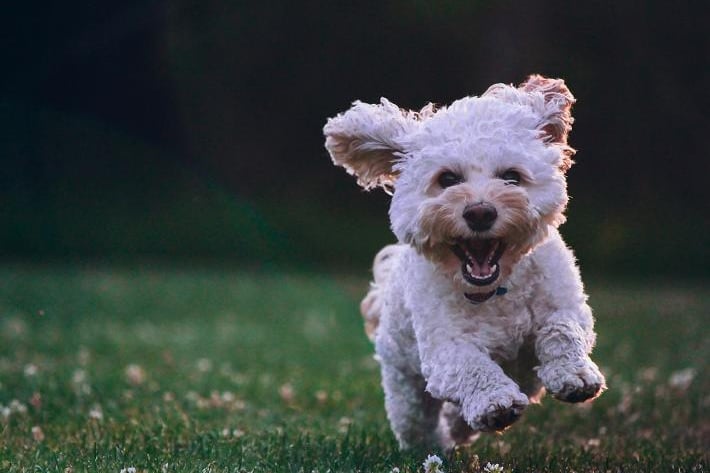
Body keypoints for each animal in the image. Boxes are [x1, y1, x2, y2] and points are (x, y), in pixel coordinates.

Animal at [322, 75, 608, 448]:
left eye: (511, 176)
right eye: (447, 179)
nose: (480, 212)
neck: (496, 290)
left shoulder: (565, 304)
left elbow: (562, 330)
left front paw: (574, 375)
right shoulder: (445, 348)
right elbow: (471, 366)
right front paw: (494, 401)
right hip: (404, 383)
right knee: (417, 422)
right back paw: (436, 443)